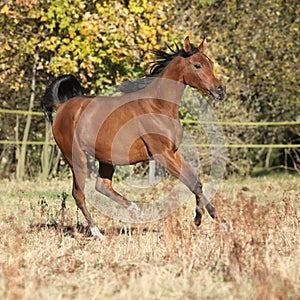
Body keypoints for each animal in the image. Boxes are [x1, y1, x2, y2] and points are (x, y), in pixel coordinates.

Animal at [41, 37, 225, 239]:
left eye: (211, 63)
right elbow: (191, 182)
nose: (220, 90)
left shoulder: (173, 152)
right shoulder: (162, 154)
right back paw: (97, 233)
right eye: (197, 65)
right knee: (78, 194)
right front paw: (206, 219)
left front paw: (210, 219)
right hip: (76, 158)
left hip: (106, 158)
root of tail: (62, 107)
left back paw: (136, 210)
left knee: (102, 186)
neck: (158, 106)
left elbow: (196, 182)